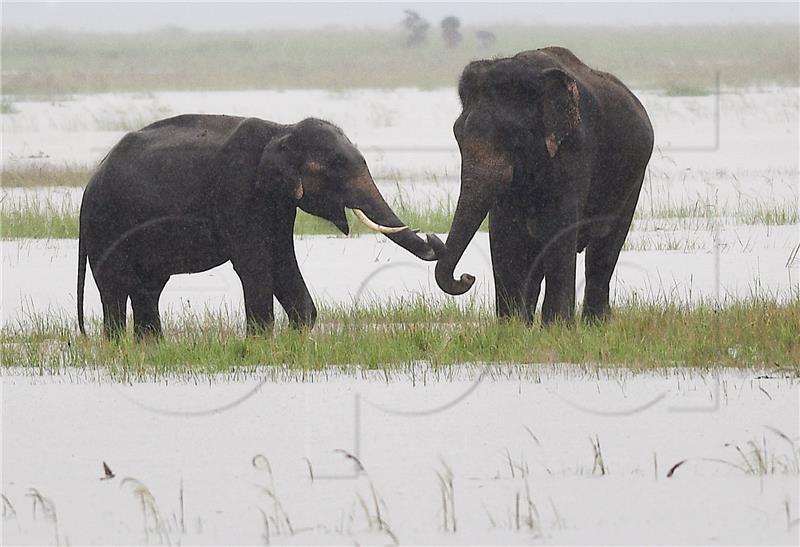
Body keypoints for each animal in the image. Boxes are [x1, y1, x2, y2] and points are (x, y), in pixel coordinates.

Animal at [78, 115, 440, 338]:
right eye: (336, 167)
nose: (433, 237)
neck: (282, 130)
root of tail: (91, 181)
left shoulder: (278, 202)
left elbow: (281, 259)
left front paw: (296, 332)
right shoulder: (238, 189)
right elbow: (254, 262)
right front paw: (260, 339)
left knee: (148, 288)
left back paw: (151, 345)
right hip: (104, 224)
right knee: (114, 288)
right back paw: (118, 344)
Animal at [428, 47, 652, 326]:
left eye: (514, 137)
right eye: (458, 135)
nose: (467, 277)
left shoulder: (575, 149)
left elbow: (560, 229)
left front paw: (557, 327)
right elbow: (504, 233)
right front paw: (510, 326)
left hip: (633, 180)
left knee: (604, 250)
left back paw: (595, 323)